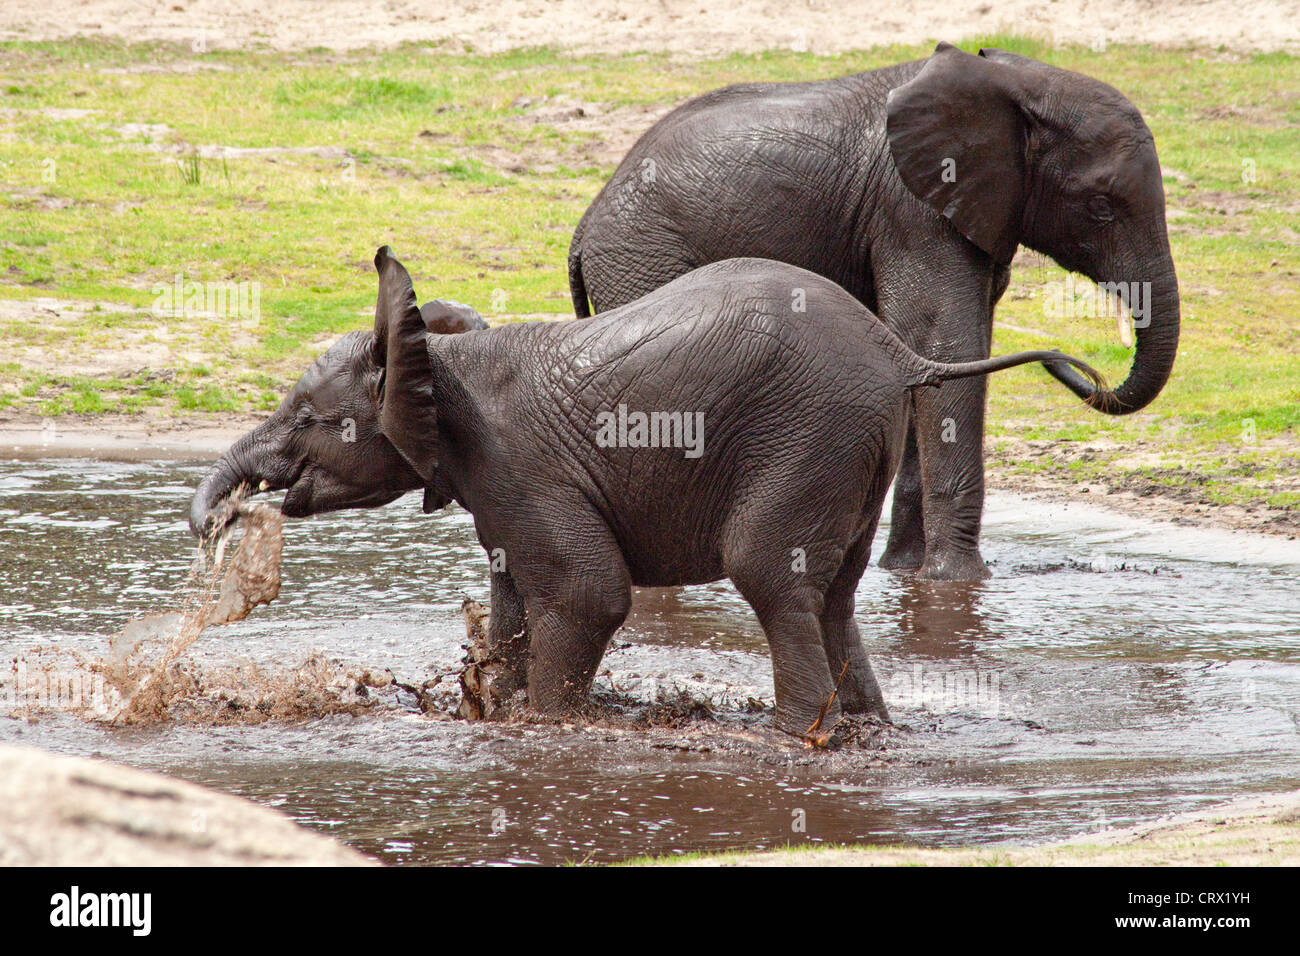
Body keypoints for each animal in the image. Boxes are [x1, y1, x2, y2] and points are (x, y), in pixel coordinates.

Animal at [361, 247, 1102, 738]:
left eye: (329, 418)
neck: (451, 360)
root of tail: (900, 356)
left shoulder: (523, 467)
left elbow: (587, 594)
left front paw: (544, 724)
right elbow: (515, 595)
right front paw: (494, 701)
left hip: (811, 436)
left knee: (770, 571)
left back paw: (796, 738)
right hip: (859, 450)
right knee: (833, 595)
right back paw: (862, 726)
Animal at [569, 42, 1180, 582]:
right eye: (1099, 207)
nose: (1074, 363)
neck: (1016, 80)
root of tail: (584, 226)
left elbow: (935, 357)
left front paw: (905, 574)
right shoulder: (911, 210)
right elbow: (944, 344)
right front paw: (959, 583)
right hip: (641, 259)